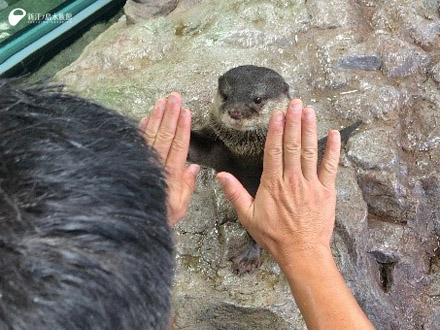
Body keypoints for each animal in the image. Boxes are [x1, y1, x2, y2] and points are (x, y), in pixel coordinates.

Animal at [189, 65, 360, 276]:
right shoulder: (216, 145)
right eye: (226, 95)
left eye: (258, 98)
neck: (245, 151)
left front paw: (249, 257)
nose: (236, 112)